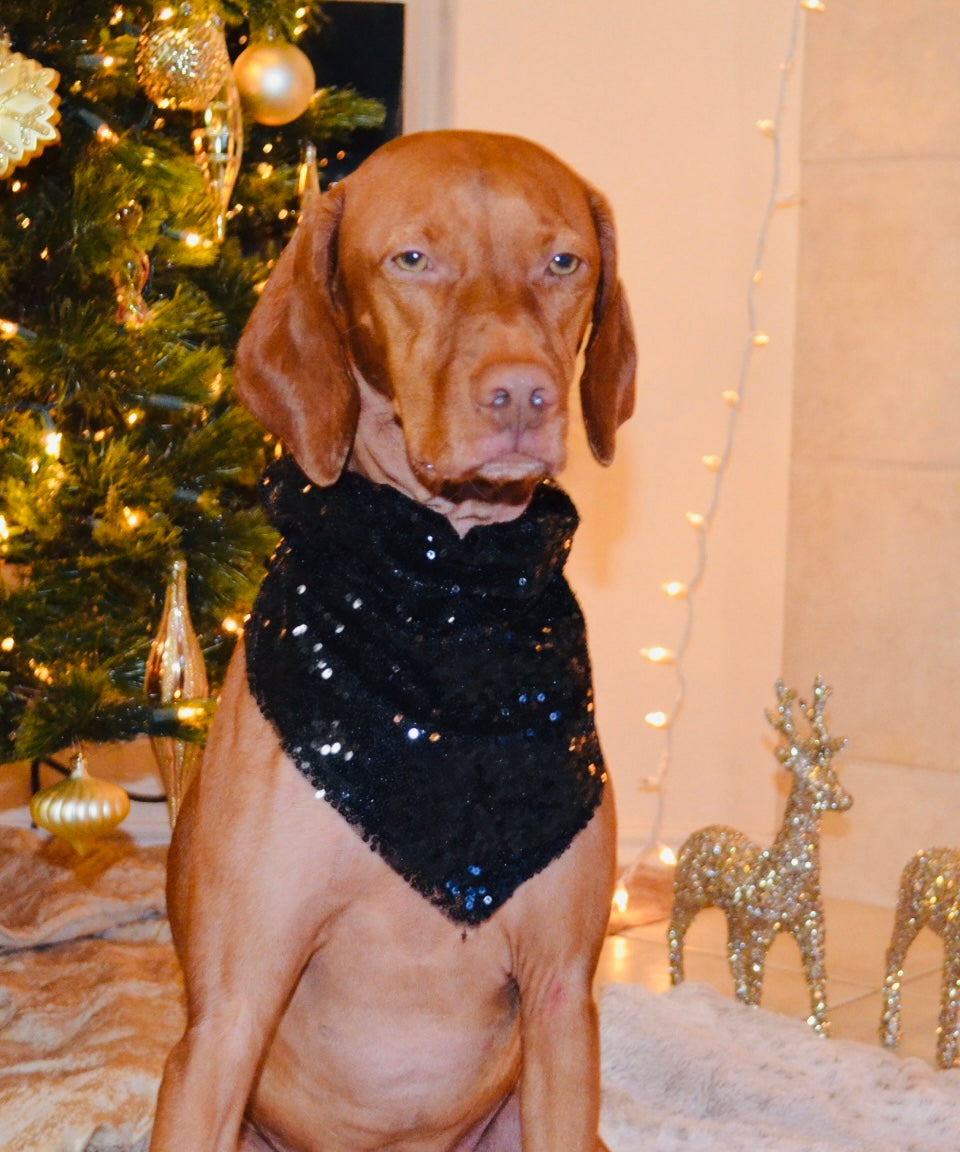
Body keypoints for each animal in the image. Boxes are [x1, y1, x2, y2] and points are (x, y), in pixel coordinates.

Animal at [152, 130, 636, 1152]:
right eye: (412, 259)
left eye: (563, 261)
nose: (522, 393)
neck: (444, 603)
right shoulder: (225, 1021)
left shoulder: (561, 1002)